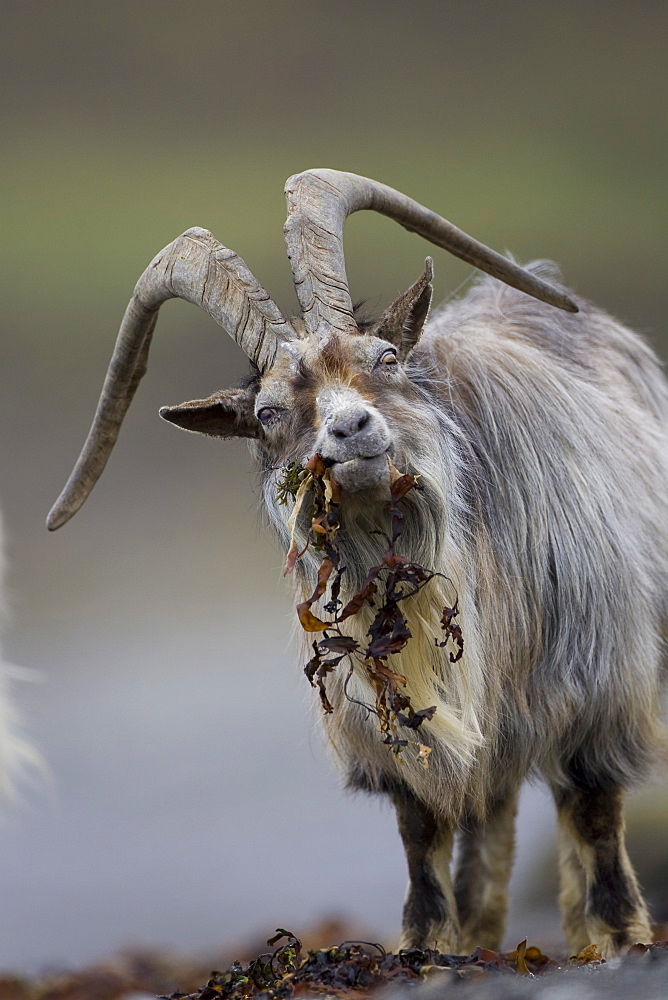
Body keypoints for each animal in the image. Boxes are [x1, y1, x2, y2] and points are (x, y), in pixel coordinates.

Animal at [49, 170, 668, 952]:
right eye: (268, 413)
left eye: (385, 360)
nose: (351, 427)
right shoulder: (392, 727)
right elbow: (422, 838)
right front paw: (429, 949)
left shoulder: (597, 688)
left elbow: (594, 819)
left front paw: (621, 938)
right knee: (490, 813)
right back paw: (482, 932)